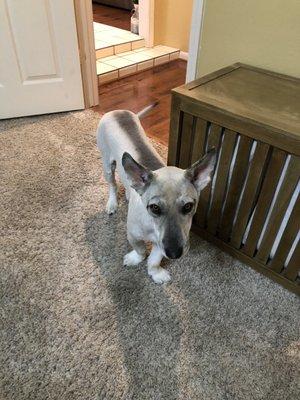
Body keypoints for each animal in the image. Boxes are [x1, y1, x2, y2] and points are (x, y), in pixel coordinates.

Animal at [97, 104, 217, 284]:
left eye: (188, 206)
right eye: (154, 208)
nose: (174, 254)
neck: (151, 226)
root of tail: (117, 111)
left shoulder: (162, 244)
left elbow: (154, 260)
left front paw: (156, 273)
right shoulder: (133, 236)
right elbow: (140, 251)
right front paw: (133, 259)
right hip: (107, 165)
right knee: (112, 184)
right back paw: (112, 204)